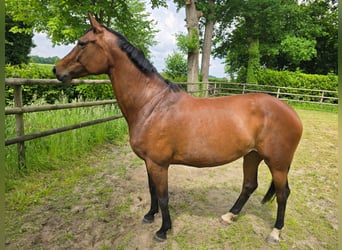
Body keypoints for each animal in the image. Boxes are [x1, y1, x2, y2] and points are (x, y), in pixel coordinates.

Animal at [53, 14, 302, 244]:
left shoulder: (159, 164)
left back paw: (275, 232)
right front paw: (149, 216)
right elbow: (152, 191)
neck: (151, 104)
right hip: (252, 156)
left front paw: (163, 230)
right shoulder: (149, 162)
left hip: (277, 164)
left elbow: (164, 196)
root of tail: (291, 112)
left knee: (283, 194)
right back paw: (229, 216)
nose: (57, 70)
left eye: (82, 43)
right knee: (249, 185)